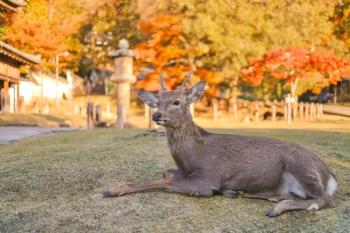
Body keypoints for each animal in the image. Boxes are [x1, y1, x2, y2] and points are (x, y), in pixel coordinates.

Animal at [100, 72, 336, 218]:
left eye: (177, 102)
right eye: (157, 102)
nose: (157, 115)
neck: (193, 157)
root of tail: (330, 176)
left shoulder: (208, 180)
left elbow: (165, 181)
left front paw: (112, 189)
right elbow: (166, 174)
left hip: (302, 166)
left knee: (323, 200)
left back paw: (277, 208)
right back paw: (240, 193)